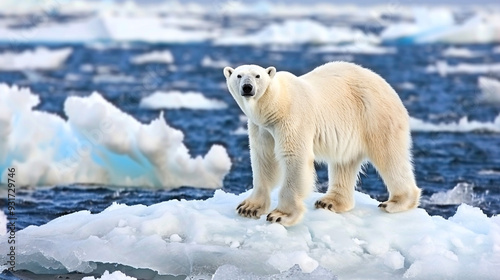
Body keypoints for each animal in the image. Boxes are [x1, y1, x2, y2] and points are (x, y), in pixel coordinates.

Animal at [224, 62, 422, 226]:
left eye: (257, 76)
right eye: (239, 75)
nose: (248, 88)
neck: (275, 105)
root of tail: (388, 86)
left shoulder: (292, 118)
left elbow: (294, 157)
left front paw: (280, 215)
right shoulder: (261, 127)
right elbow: (264, 159)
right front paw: (248, 208)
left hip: (375, 115)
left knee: (389, 156)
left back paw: (396, 202)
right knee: (344, 162)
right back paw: (329, 202)